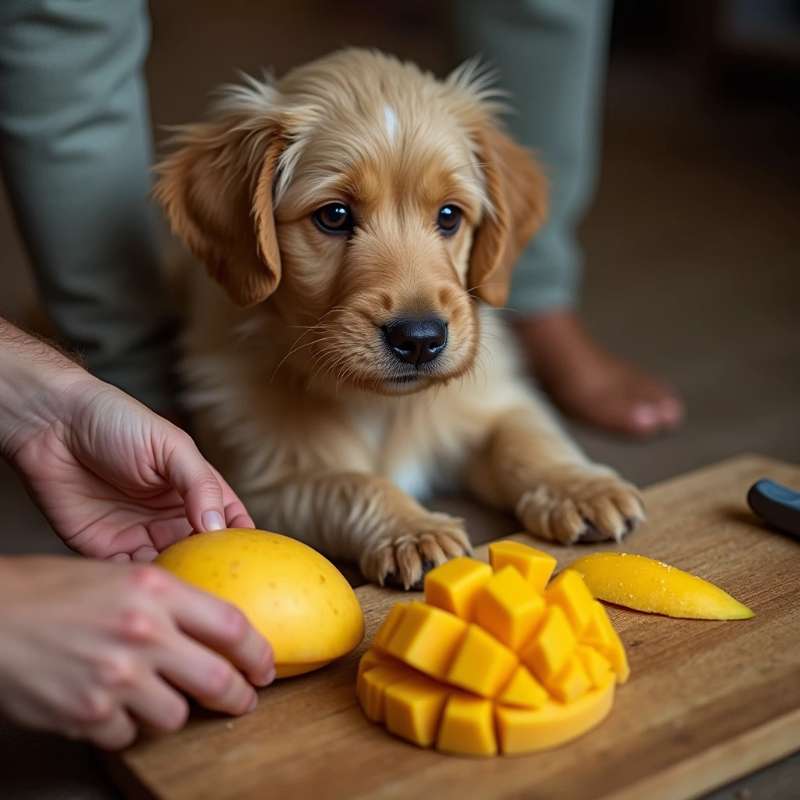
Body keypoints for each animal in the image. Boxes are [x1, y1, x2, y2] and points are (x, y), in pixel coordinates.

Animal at [156, 48, 644, 588]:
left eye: (449, 215)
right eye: (334, 216)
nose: (420, 339)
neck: (380, 404)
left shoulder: (494, 397)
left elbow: (527, 436)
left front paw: (578, 487)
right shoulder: (268, 479)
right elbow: (352, 484)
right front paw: (412, 530)